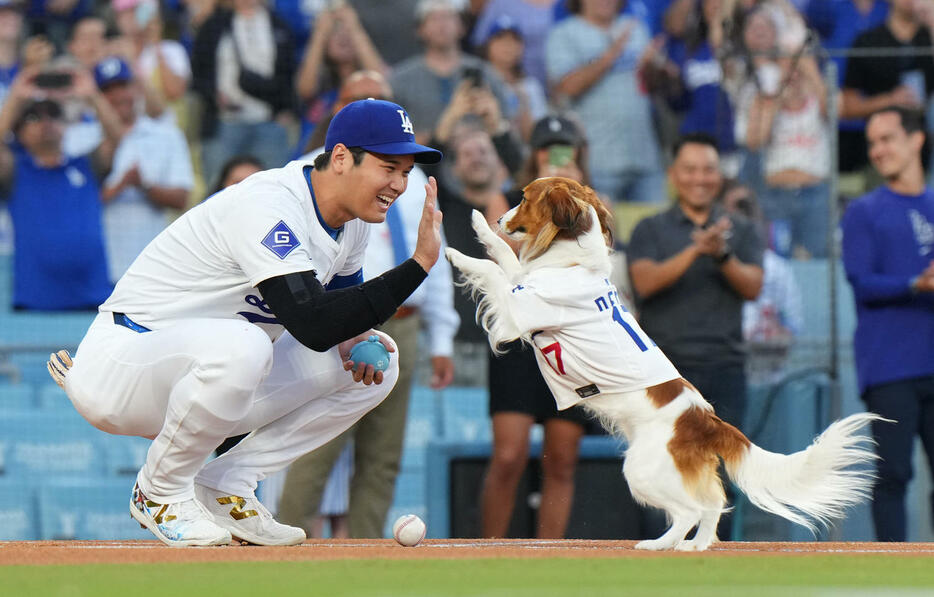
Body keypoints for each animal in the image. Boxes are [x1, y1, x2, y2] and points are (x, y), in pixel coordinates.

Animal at [448, 176, 884, 548]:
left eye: (523, 198)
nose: (500, 217)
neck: (572, 262)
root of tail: (707, 421)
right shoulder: (521, 287)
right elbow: (507, 261)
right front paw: (481, 230)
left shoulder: (515, 315)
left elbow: (494, 270)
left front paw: (458, 249)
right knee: (711, 505)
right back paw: (694, 548)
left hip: (640, 470)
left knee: (691, 510)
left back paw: (658, 546)